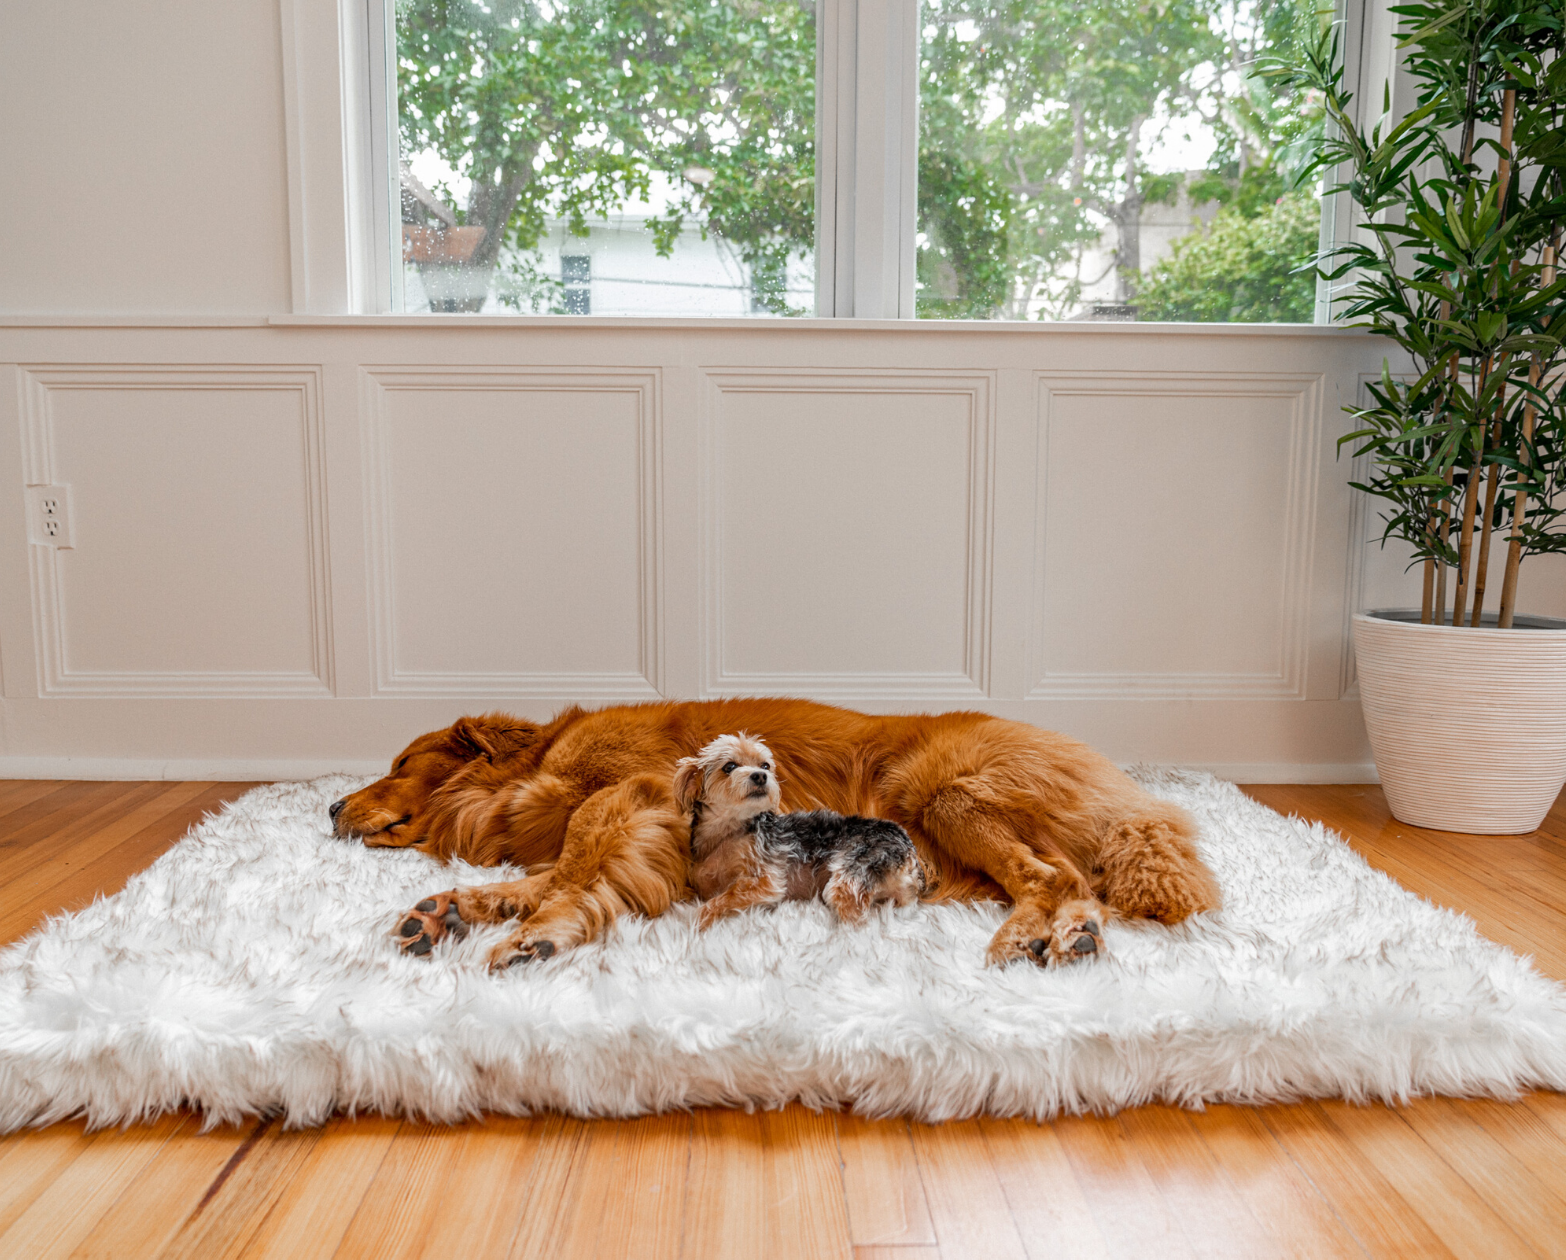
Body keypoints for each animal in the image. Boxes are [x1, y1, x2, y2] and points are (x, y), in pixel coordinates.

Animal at [667, 726, 920, 926]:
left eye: (765, 765)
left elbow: (720, 900)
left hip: (852, 873)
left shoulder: (764, 880)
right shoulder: (703, 883)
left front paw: (697, 925)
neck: (728, 831)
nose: (760, 776)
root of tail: (910, 849)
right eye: (729, 766)